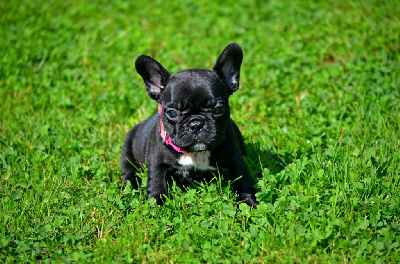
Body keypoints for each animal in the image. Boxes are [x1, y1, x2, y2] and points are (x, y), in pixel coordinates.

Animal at [122, 43, 258, 208]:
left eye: (218, 109)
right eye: (172, 113)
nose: (196, 123)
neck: (195, 153)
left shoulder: (235, 159)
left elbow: (243, 180)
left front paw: (250, 204)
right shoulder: (157, 163)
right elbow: (156, 183)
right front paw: (157, 204)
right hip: (127, 149)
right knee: (129, 171)